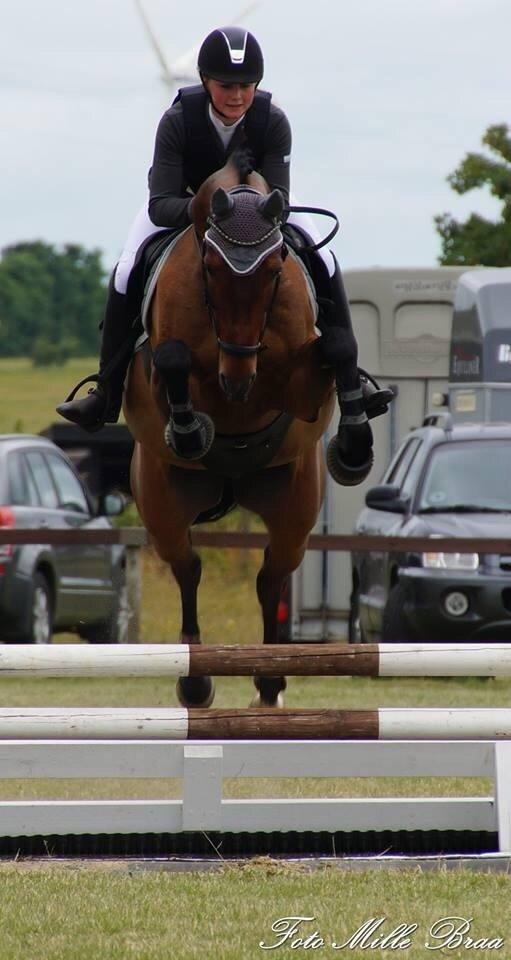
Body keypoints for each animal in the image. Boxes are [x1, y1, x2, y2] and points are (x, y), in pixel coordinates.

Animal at [123, 150, 356, 704]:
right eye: (210, 266)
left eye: (275, 268)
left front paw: (354, 444)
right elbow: (172, 358)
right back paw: (195, 682)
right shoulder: (160, 375)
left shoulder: (304, 391)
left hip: (294, 502)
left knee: (271, 576)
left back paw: (270, 681)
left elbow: (337, 347)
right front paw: (192, 431)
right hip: (163, 502)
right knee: (188, 568)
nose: (237, 378)